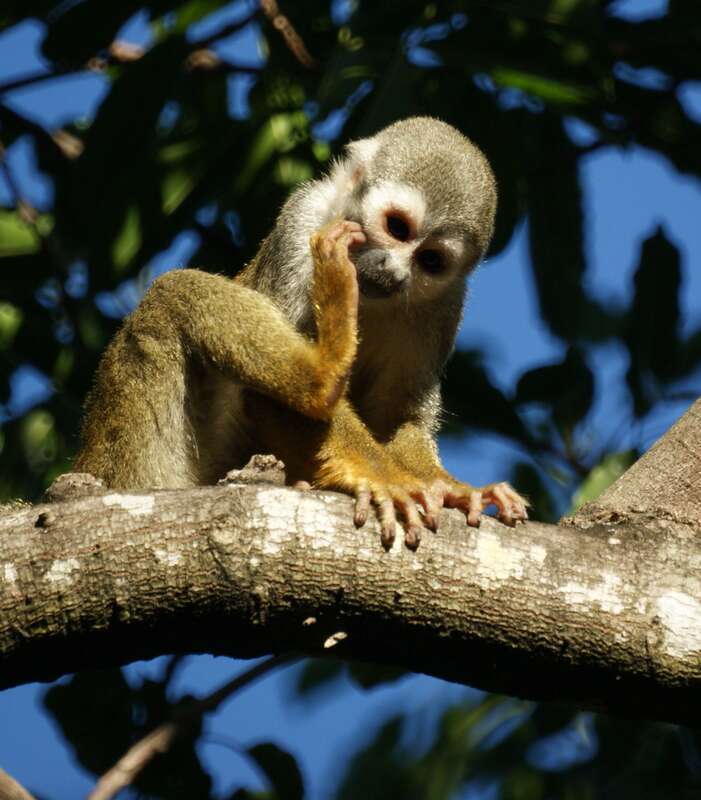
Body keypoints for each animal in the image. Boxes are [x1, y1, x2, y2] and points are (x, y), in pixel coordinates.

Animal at [74, 116, 528, 549]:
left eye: (430, 261)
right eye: (398, 228)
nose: (395, 271)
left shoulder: (447, 302)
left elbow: (400, 416)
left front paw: (451, 488)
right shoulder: (302, 220)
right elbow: (267, 398)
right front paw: (385, 476)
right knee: (172, 292)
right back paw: (321, 375)